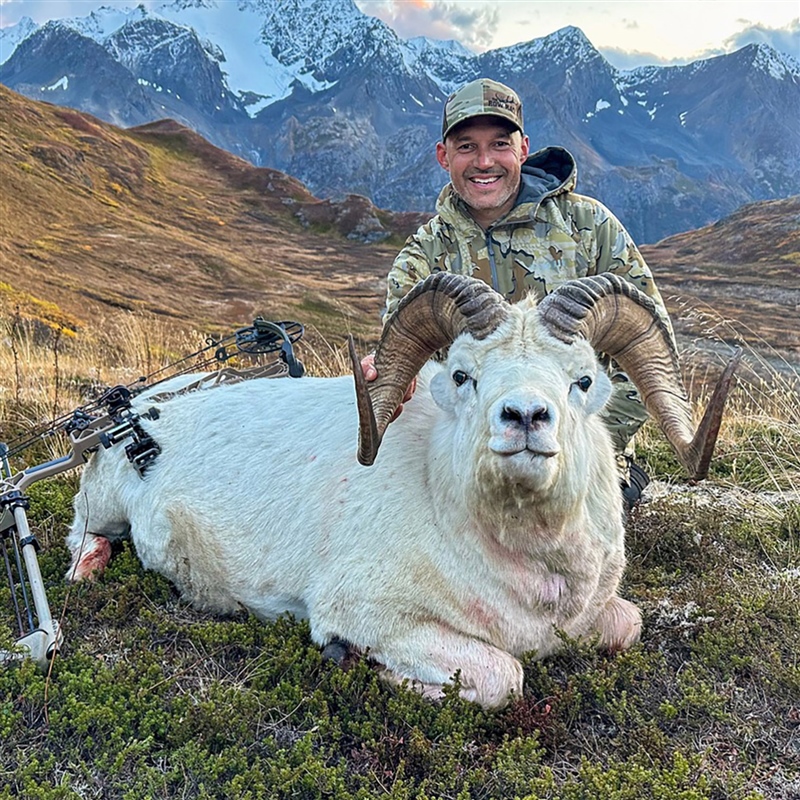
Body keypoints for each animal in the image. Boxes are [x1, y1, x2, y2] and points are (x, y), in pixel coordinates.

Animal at [66, 273, 739, 709]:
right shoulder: (372, 616)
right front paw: (354, 662)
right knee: (83, 534)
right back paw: (86, 571)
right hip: (102, 505)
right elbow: (505, 678)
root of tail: (138, 413)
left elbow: (629, 624)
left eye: (584, 379)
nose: (524, 417)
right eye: (463, 375)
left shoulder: (603, 618)